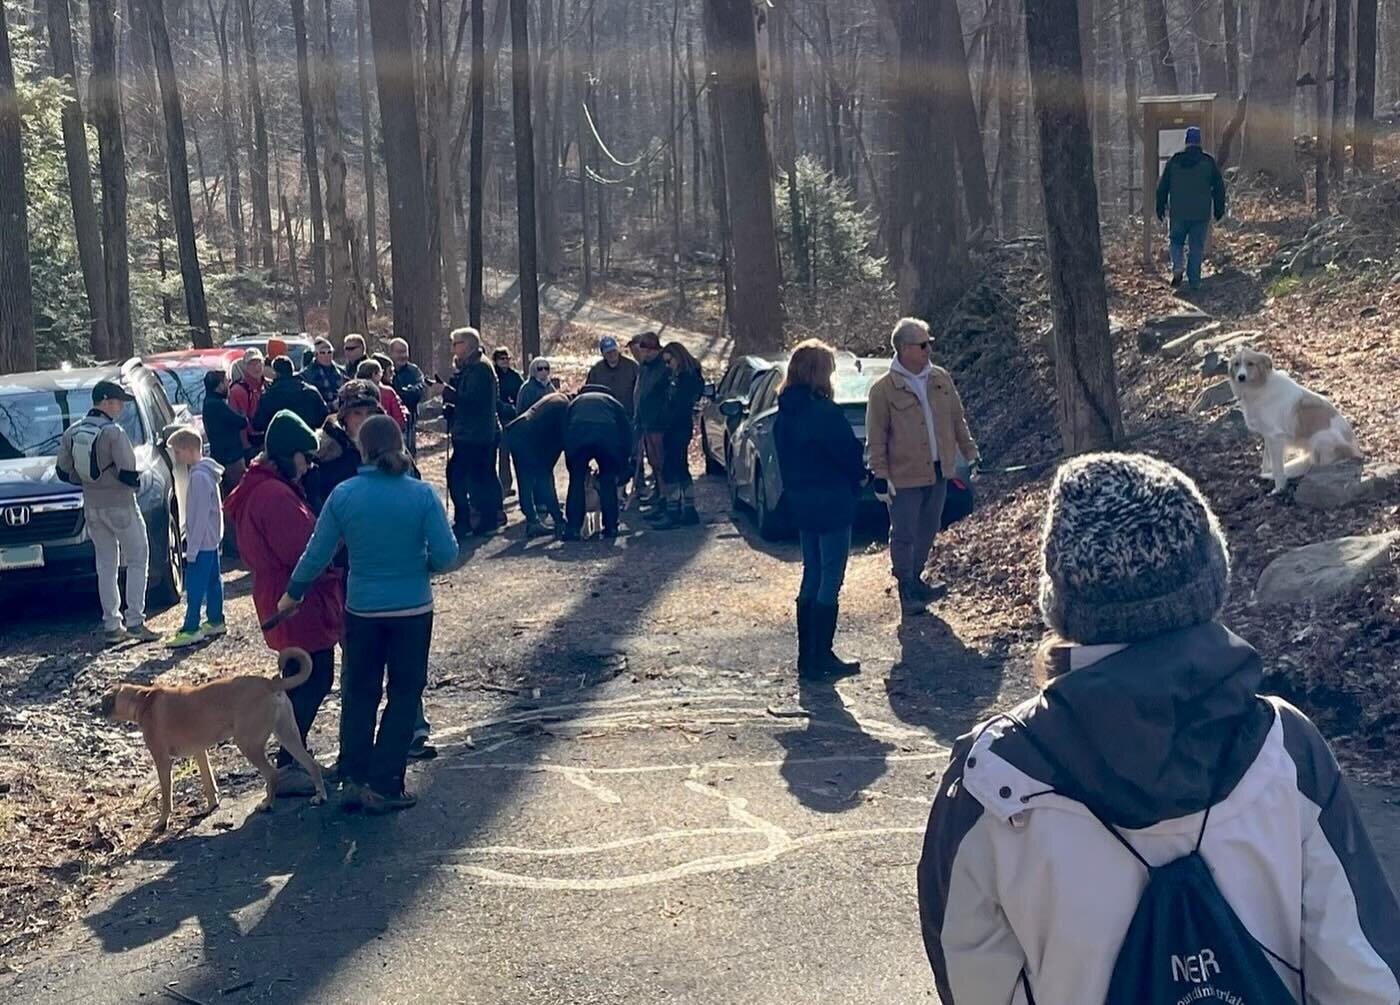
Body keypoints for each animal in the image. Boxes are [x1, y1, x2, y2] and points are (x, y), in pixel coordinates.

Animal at [100, 649, 326, 828]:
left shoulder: (162, 761)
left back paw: (268, 804)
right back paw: (320, 795)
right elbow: (209, 784)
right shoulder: (200, 752)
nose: (97, 711)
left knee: (271, 774)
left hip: (248, 744)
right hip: (287, 735)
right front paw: (212, 806)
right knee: (311, 764)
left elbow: (166, 798)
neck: (143, 700)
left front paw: (162, 822)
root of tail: (270, 683)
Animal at [1232, 349, 1360, 495]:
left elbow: (1277, 468)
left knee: (1320, 464)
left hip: (1321, 438)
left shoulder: (1275, 437)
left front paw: (1279, 488)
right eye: (1236, 364)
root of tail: (1357, 452)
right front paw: (1265, 474)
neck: (1259, 388)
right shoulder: (1269, 436)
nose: (1241, 377)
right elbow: (1267, 460)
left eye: (1250, 363)